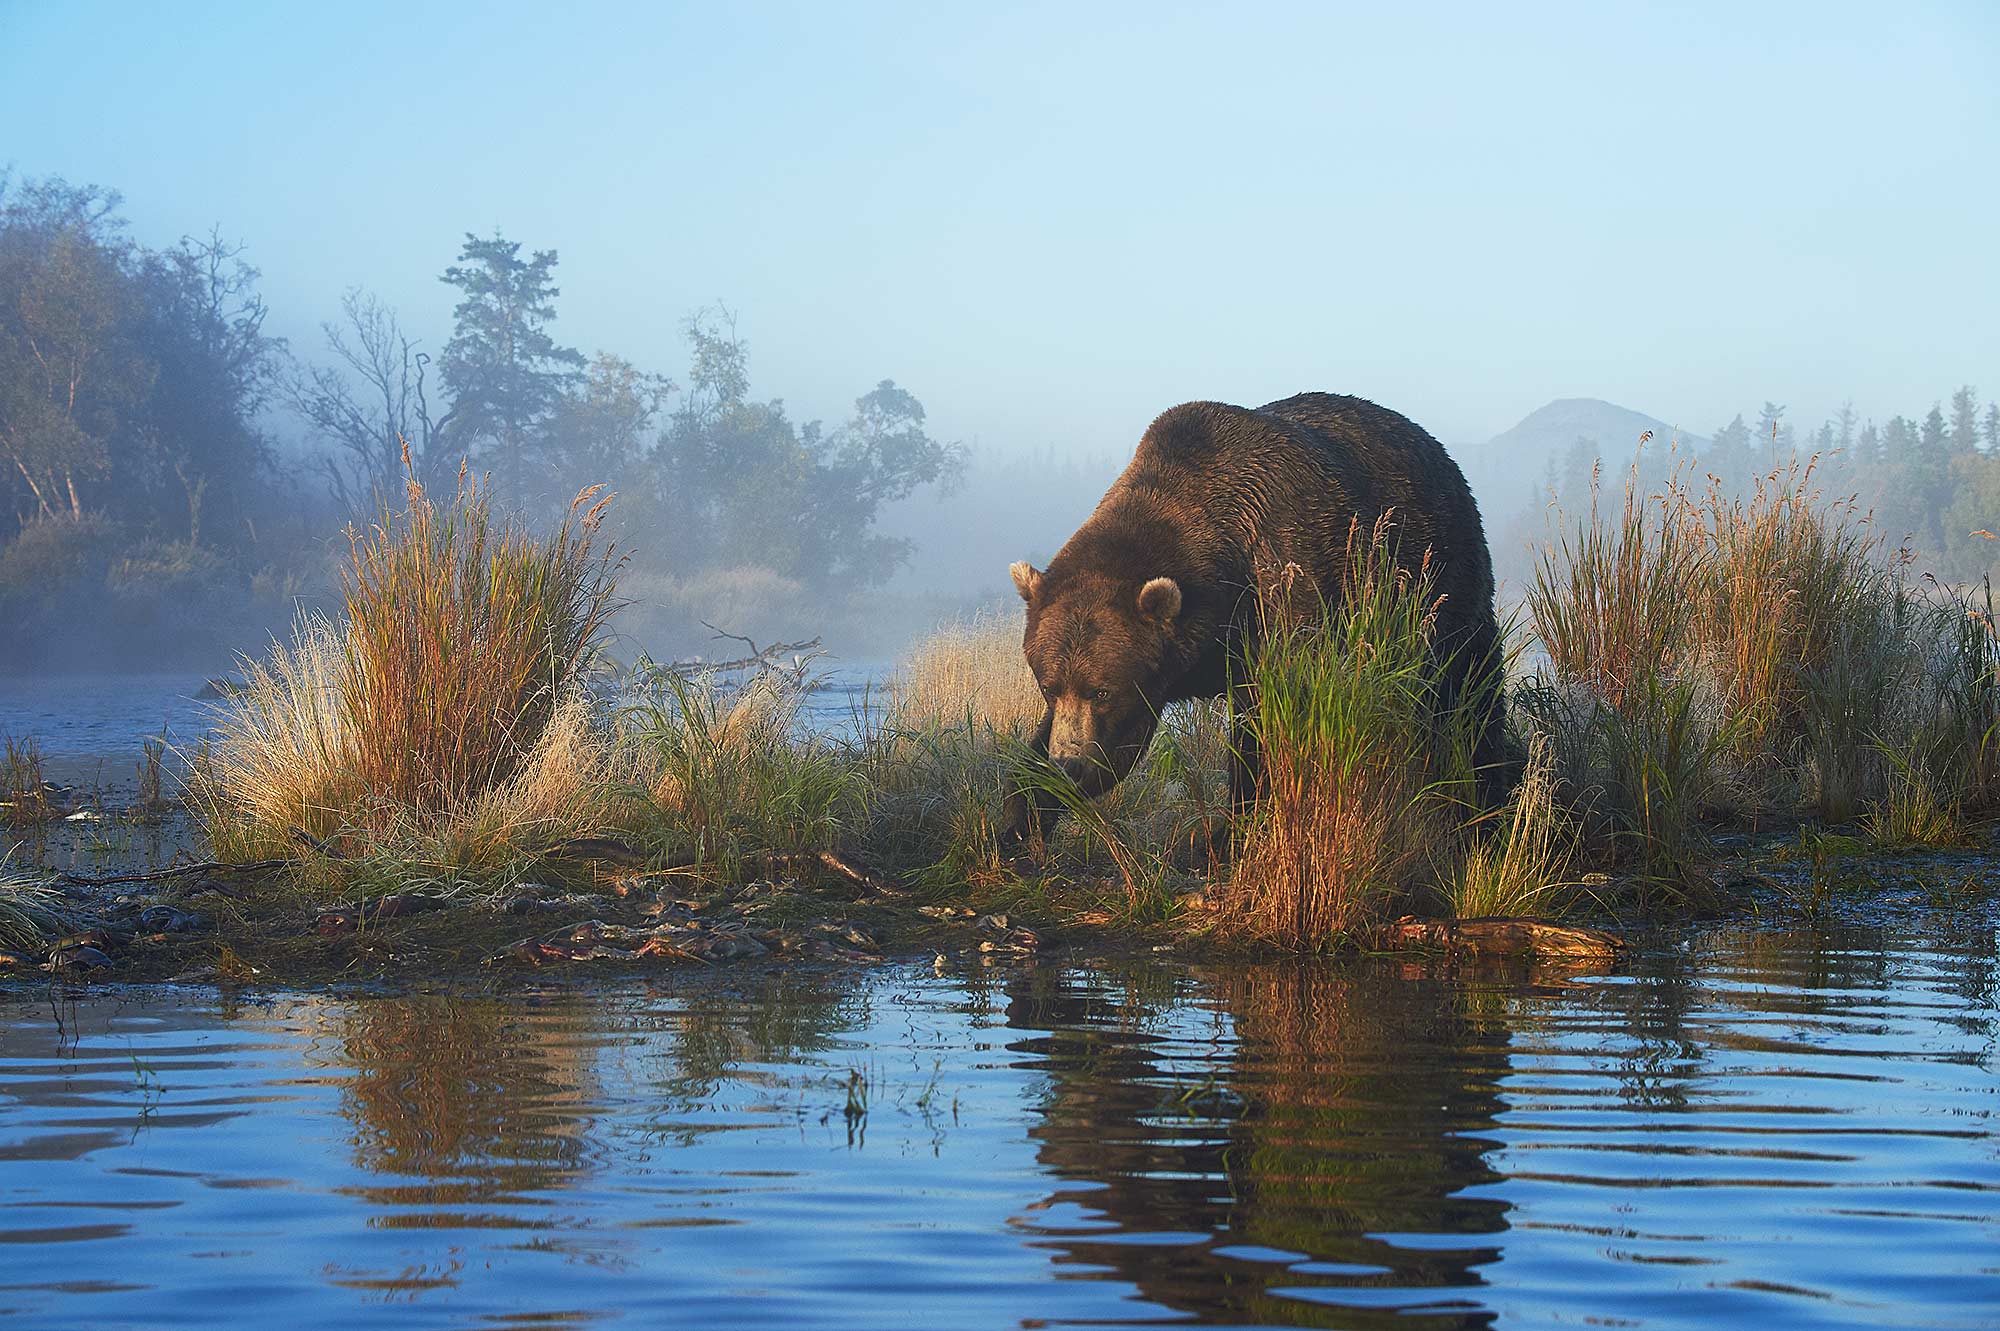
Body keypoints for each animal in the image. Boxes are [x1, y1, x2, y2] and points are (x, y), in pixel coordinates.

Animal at [1004, 391, 1506, 841]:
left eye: (1103, 691)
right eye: (1048, 686)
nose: (1069, 764)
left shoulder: (1286, 581)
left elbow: (1271, 721)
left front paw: (1238, 825)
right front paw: (1020, 816)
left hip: (1438, 579)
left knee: (1468, 697)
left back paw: (1484, 810)